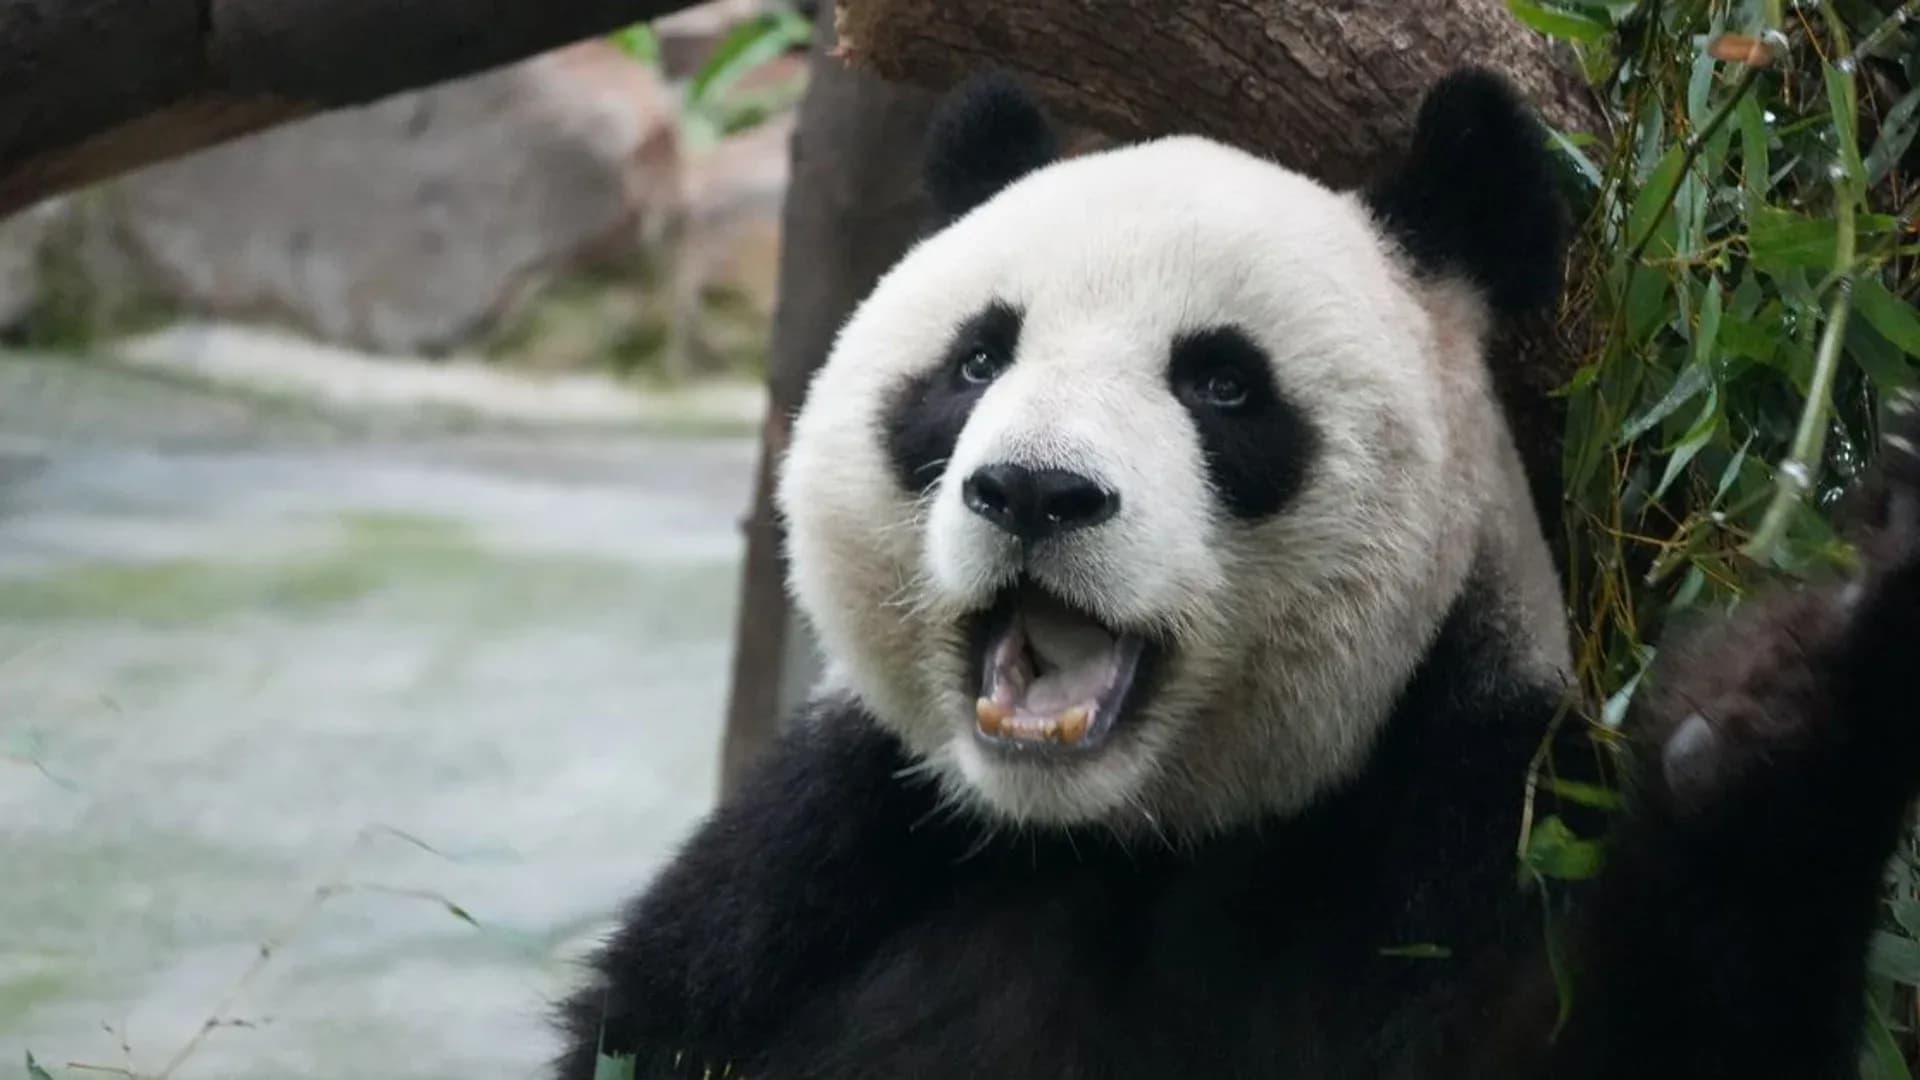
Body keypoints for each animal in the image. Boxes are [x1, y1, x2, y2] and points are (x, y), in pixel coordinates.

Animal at [553, 66, 1920, 1079]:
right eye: (978, 360)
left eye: (1220, 383)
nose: (1034, 491)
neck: (1123, 834)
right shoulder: (819, 863)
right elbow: (658, 1021)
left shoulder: (1464, 813)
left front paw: (1790, 695)